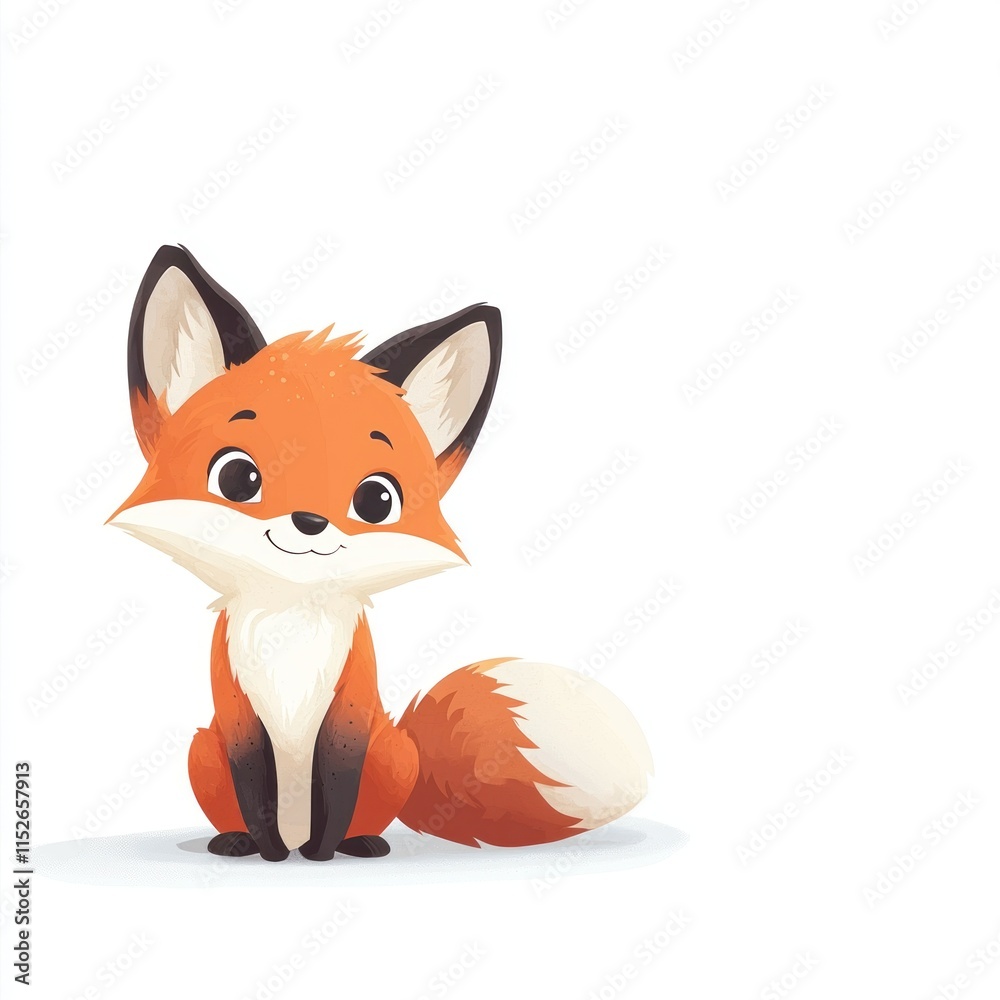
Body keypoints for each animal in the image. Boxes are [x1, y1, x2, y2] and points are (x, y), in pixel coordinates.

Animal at [110, 245, 652, 862]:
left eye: (376, 498)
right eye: (237, 477)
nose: (310, 523)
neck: (293, 623)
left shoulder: (352, 709)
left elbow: (337, 781)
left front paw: (319, 855)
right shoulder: (236, 714)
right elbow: (255, 788)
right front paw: (272, 852)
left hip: (392, 752)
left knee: (363, 812)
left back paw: (361, 843)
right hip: (203, 750)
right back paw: (238, 841)